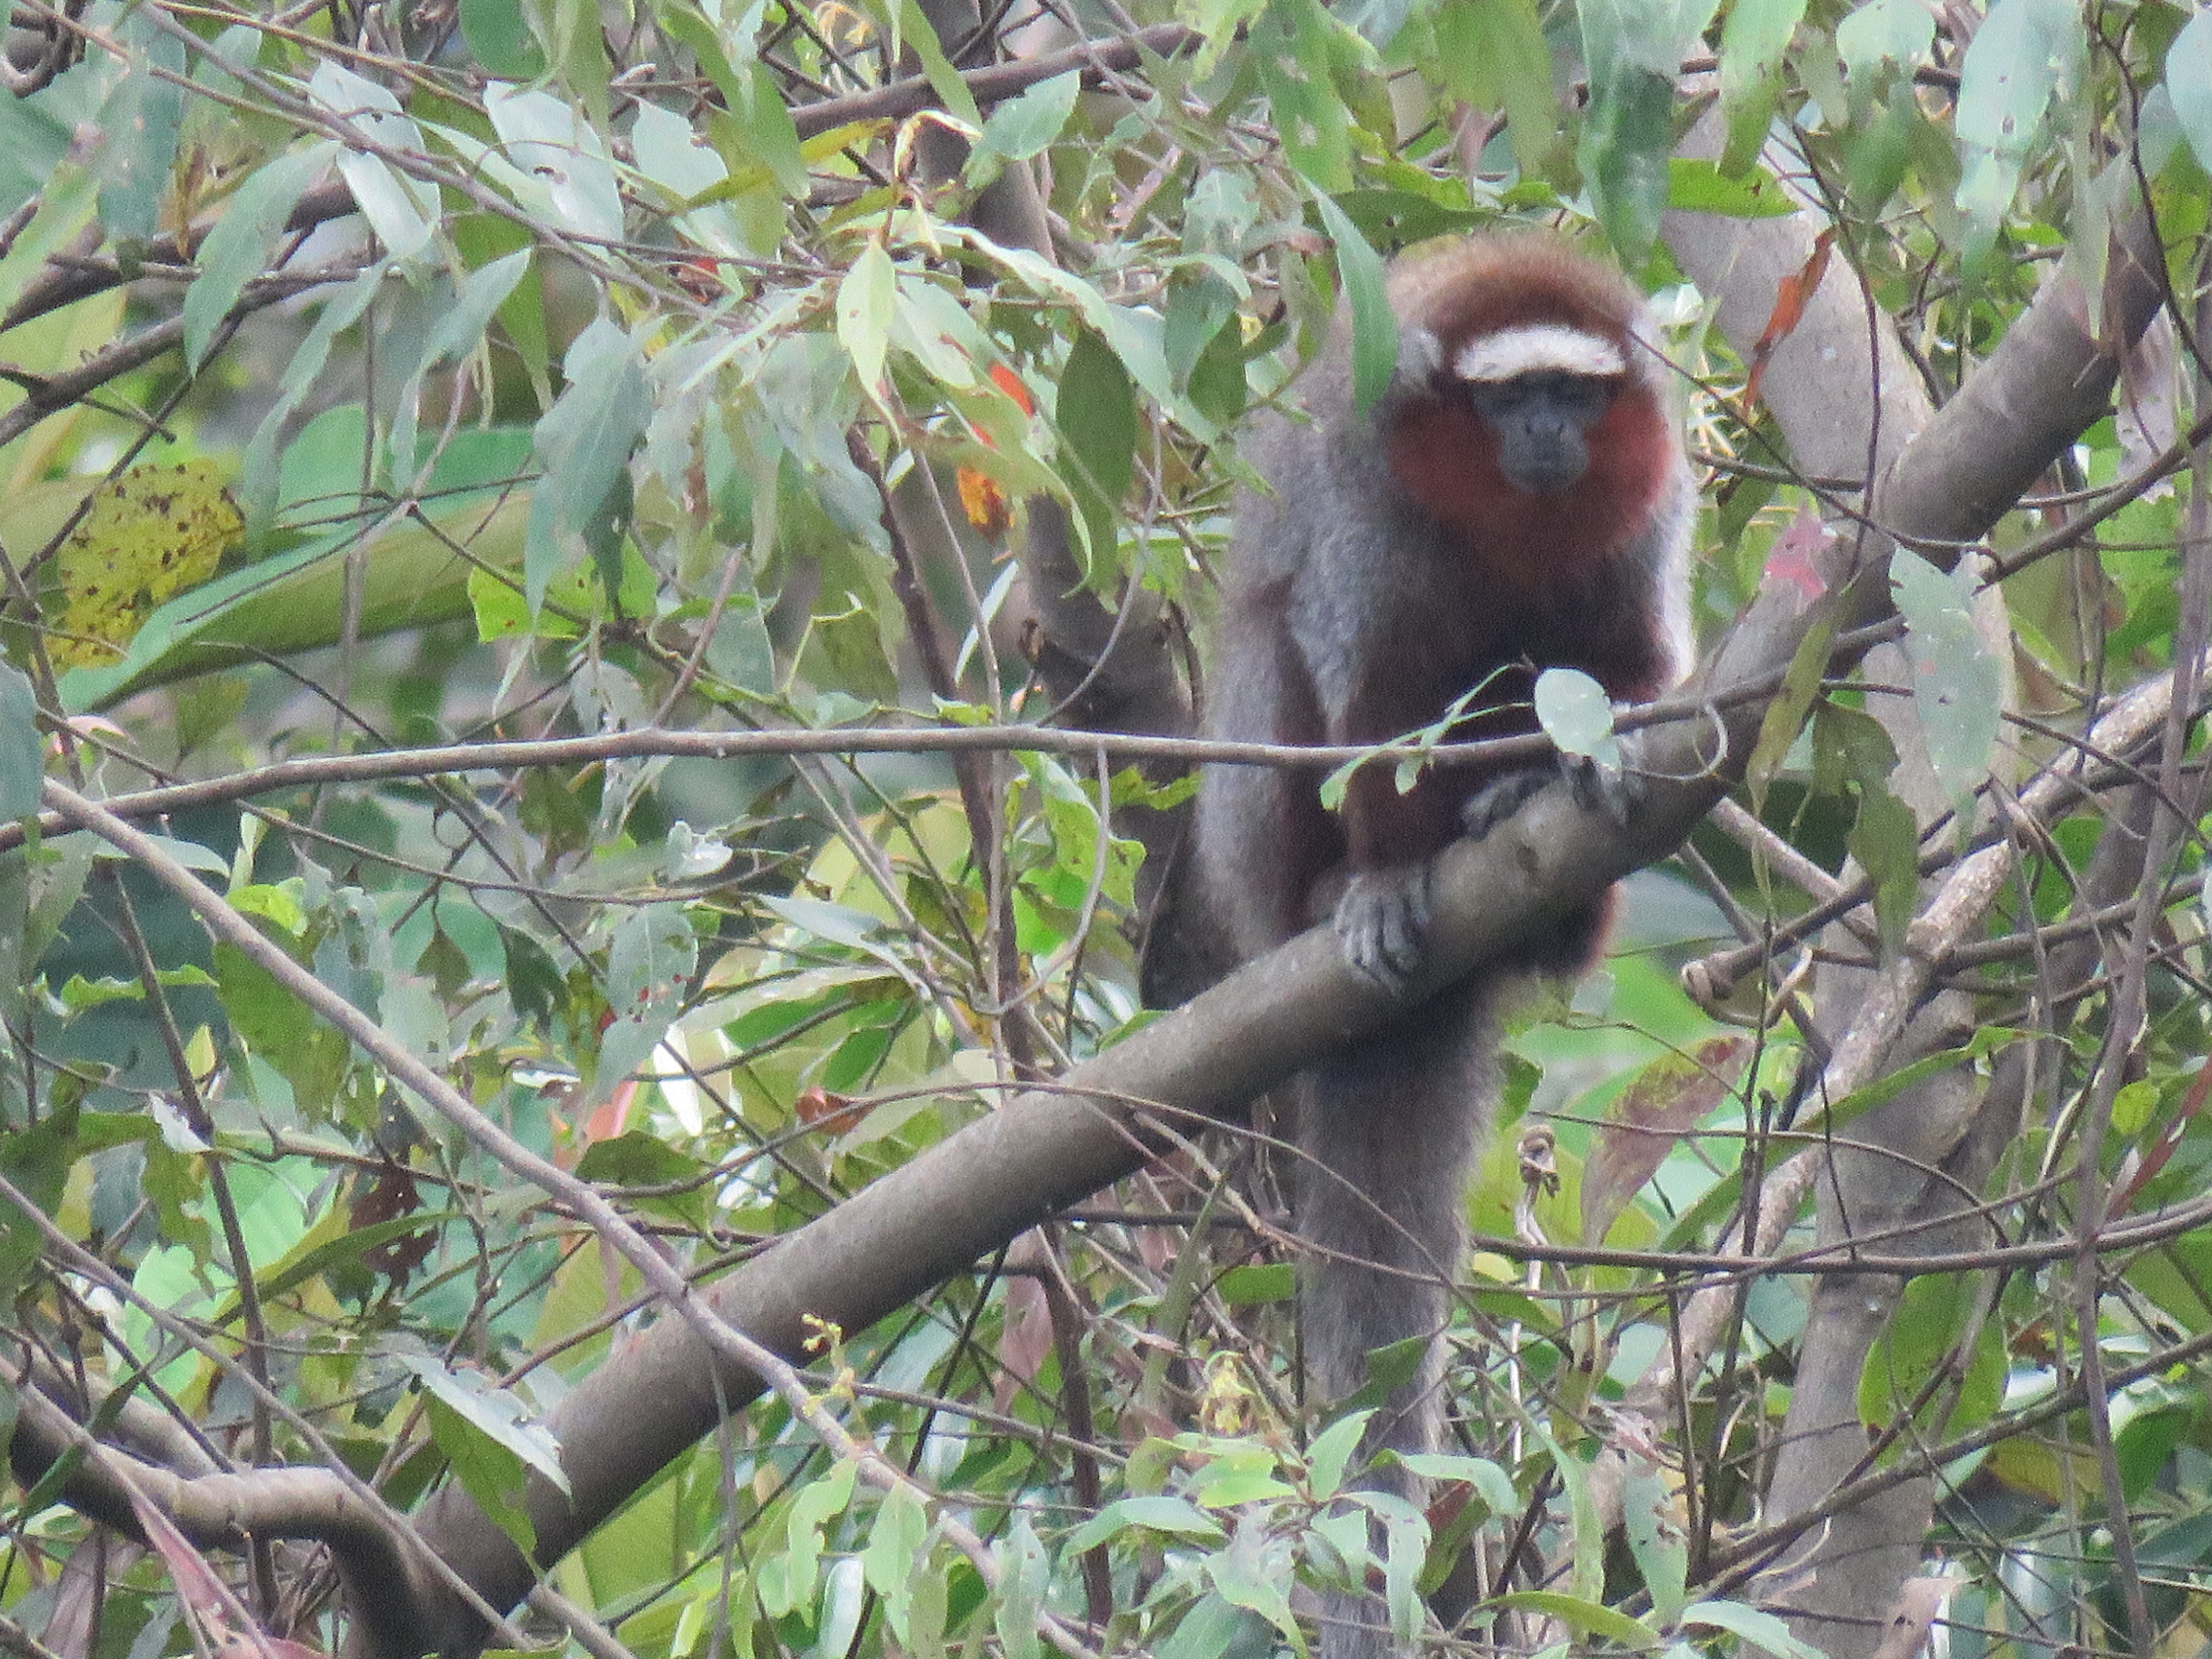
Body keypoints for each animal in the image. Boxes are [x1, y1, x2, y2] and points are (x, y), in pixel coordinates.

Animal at [1193, 233, 1694, 1659]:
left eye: (1573, 397)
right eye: (1508, 397)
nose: (1544, 434)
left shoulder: (1650, 513)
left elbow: (1635, 659)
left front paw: (1593, 756)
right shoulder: (1371, 521)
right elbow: (1367, 685)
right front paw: (1380, 876)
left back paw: (1534, 834)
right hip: (1245, 852)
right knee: (1270, 650)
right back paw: (1332, 895)